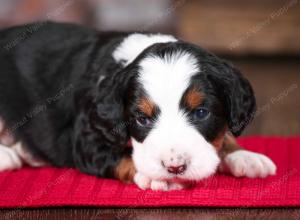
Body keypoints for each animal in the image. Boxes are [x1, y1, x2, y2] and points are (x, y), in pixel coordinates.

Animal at [0, 22, 276, 191]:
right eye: (142, 119)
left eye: (201, 113)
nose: (175, 167)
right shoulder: (87, 138)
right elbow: (123, 157)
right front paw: (155, 176)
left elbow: (225, 138)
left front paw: (244, 156)